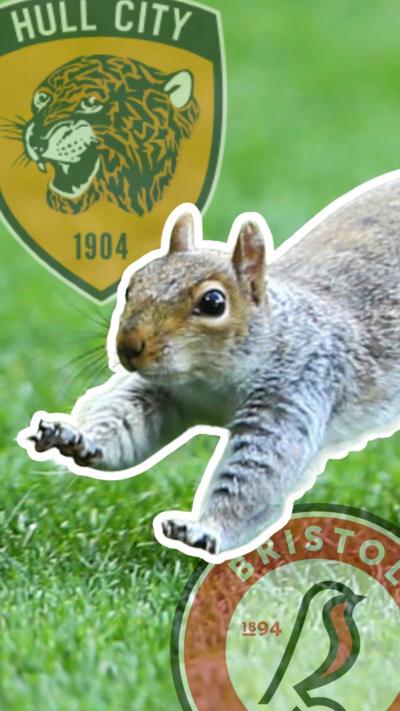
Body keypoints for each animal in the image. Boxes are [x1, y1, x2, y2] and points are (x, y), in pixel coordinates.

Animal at [20, 171, 400, 560]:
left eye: (214, 302)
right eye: (132, 285)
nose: (127, 346)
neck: (211, 382)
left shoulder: (296, 391)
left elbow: (256, 475)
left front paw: (204, 529)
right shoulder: (160, 391)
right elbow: (124, 421)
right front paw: (78, 438)